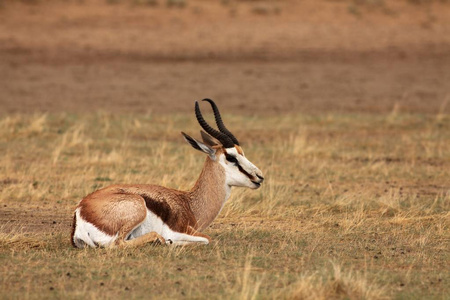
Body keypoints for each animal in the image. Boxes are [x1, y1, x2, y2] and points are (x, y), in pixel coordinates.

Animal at [71, 99, 264, 247]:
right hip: (137, 209)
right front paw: (172, 242)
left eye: (242, 152)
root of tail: (81, 212)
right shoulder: (183, 230)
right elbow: (207, 239)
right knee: (118, 244)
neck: (190, 205)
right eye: (231, 157)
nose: (259, 177)